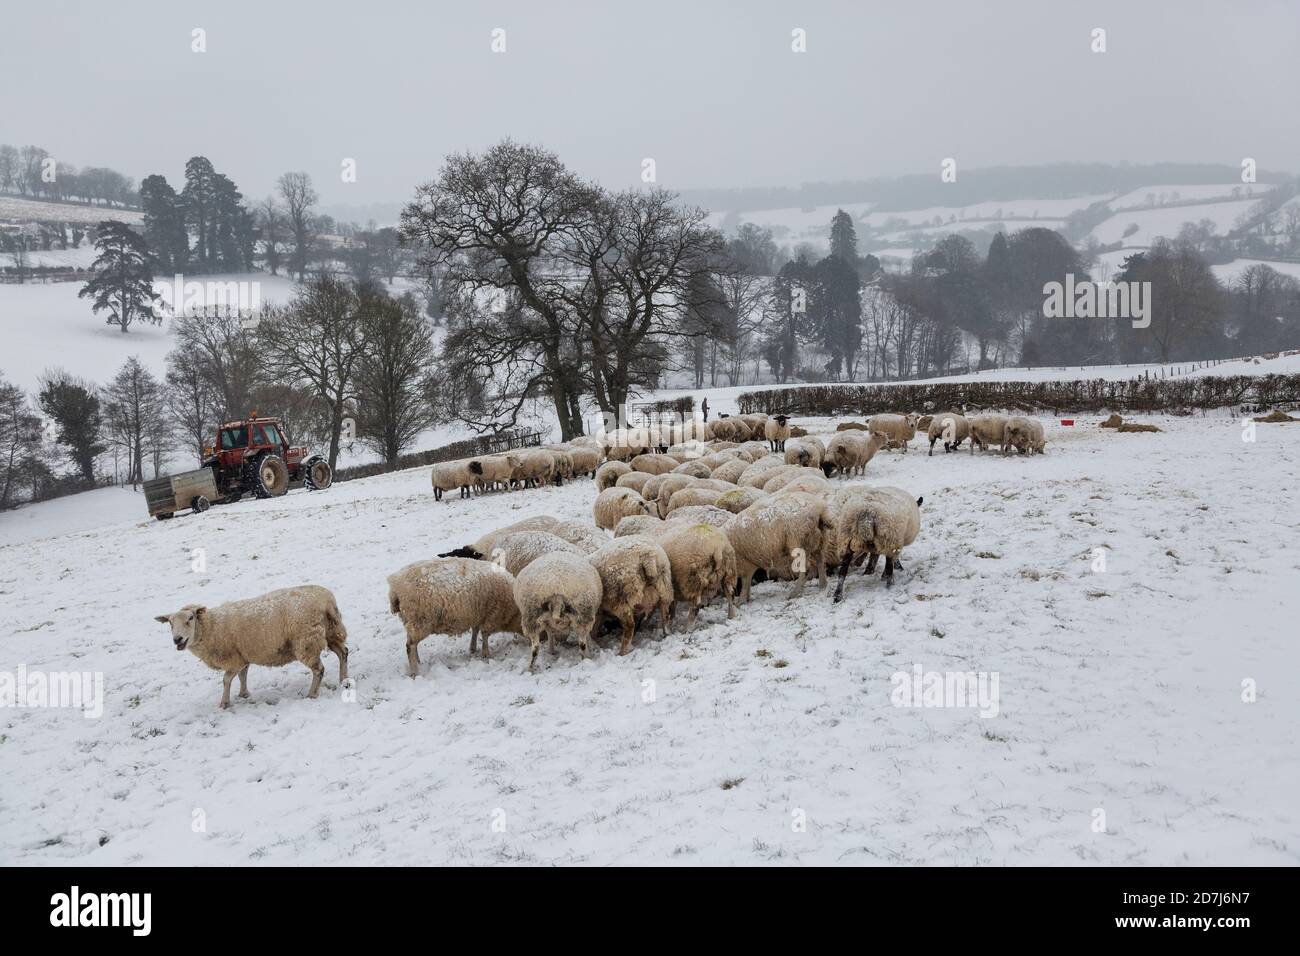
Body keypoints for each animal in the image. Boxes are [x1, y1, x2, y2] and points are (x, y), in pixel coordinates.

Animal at [155, 585, 349, 709]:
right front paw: (244, 693)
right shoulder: (242, 655)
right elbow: (243, 674)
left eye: (190, 618)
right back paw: (344, 680)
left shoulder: (233, 658)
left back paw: (312, 694)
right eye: (170, 623)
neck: (211, 627)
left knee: (319, 669)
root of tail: (327, 601)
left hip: (307, 641)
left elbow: (226, 680)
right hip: (330, 632)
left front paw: (224, 703)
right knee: (343, 652)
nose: (177, 639)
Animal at [387, 558, 521, 672]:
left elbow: (475, 630)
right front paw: (485, 655)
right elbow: (485, 635)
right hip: (419, 620)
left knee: (412, 644)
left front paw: (473, 649)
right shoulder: (492, 616)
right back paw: (415, 672)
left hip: (411, 621)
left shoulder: (478, 615)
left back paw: (418, 662)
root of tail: (395, 586)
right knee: (410, 646)